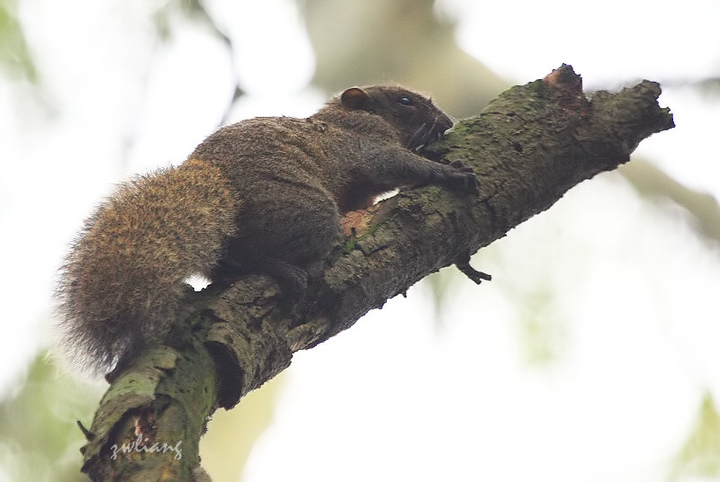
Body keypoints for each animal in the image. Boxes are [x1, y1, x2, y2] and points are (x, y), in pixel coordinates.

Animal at [56, 84, 478, 374]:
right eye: (404, 101)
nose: (447, 123)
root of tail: (217, 184)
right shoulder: (368, 141)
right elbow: (398, 164)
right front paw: (452, 173)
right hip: (311, 212)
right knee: (247, 254)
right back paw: (286, 271)